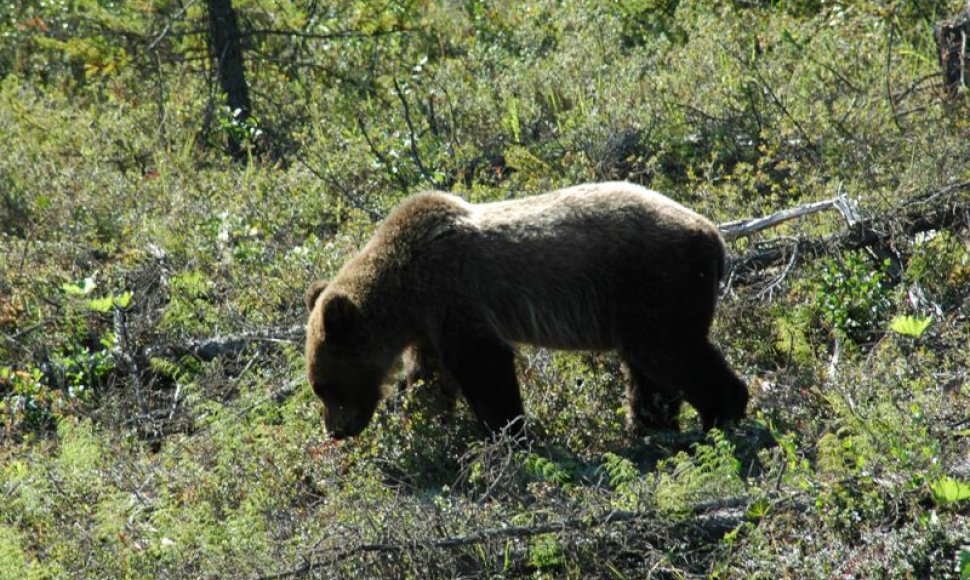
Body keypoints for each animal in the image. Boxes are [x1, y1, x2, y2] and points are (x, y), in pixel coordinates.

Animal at [304, 181, 748, 440]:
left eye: (320, 384)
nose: (335, 430)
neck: (405, 292)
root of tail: (715, 235)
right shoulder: (429, 325)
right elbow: (430, 377)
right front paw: (417, 413)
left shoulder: (453, 293)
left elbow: (484, 364)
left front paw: (506, 432)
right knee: (647, 370)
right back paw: (648, 428)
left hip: (654, 281)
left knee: (671, 352)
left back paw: (720, 416)